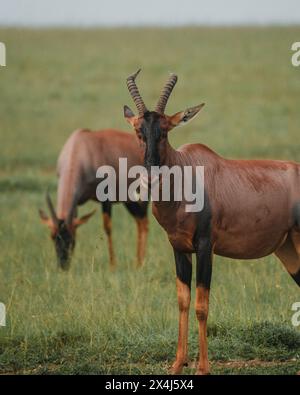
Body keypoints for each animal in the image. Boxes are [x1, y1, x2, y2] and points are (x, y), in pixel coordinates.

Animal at [38, 130, 149, 272]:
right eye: (53, 236)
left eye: (71, 238)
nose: (63, 267)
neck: (81, 147)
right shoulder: (76, 203)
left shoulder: (106, 197)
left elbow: (107, 227)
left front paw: (113, 266)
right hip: (129, 200)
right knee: (139, 221)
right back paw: (137, 263)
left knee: (144, 222)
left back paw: (141, 263)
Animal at [123, 69, 300, 376]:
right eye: (138, 131)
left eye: (165, 131)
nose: (150, 175)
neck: (187, 169)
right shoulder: (179, 248)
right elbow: (183, 301)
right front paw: (177, 365)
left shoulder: (206, 246)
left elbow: (201, 305)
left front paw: (203, 368)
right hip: (289, 250)